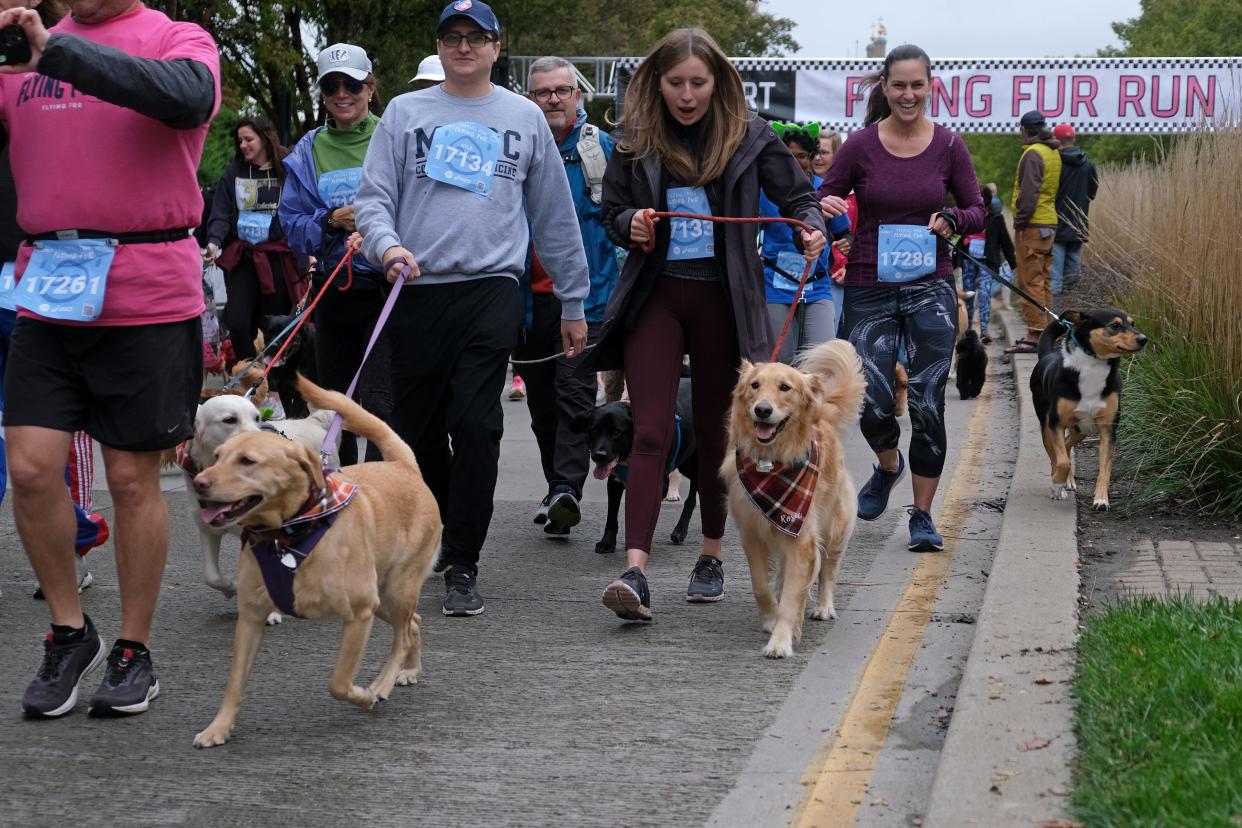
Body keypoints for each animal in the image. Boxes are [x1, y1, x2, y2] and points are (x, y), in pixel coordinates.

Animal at [176, 394, 340, 620]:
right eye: (230, 420)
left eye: (256, 417)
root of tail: (311, 420)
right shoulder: (207, 528)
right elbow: (211, 576)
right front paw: (231, 587)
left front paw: (269, 612)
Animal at [1028, 307, 1142, 508]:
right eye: (1115, 325)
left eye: (1132, 323)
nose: (1143, 339)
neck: (1093, 368)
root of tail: (1048, 355)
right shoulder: (1056, 424)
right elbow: (1062, 461)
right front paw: (1056, 486)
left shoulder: (1108, 429)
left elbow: (1104, 469)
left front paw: (1101, 499)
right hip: (1046, 425)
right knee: (1056, 455)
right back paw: (1060, 483)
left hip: (1082, 429)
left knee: (1066, 445)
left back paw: (1068, 480)